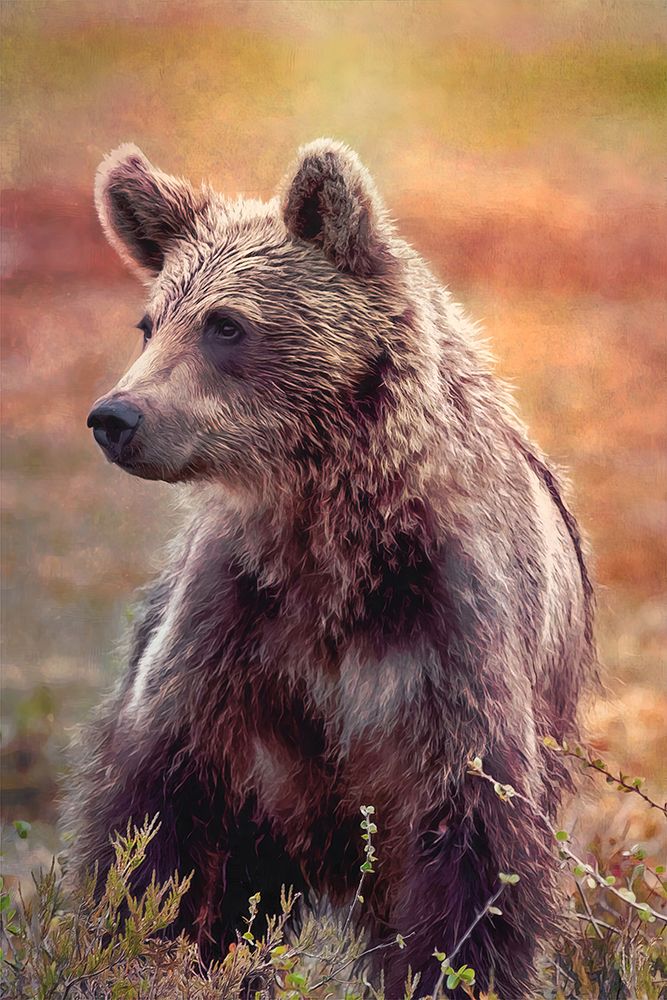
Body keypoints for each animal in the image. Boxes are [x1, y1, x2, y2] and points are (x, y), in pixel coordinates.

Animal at [67, 138, 596, 998]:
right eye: (149, 322)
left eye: (225, 324)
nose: (116, 416)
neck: (329, 540)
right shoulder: (234, 637)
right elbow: (158, 837)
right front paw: (144, 947)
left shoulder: (445, 644)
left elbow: (473, 863)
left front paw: (454, 970)